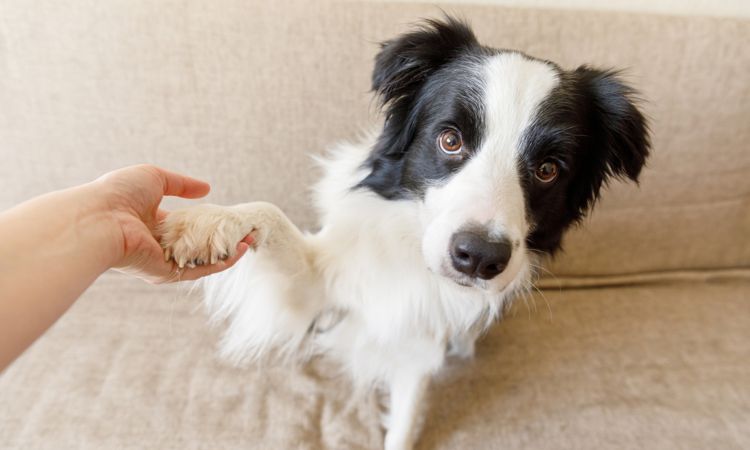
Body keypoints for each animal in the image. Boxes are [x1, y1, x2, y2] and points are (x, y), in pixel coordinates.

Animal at [160, 17, 652, 450]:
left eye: (549, 169)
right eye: (450, 140)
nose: (479, 257)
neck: (414, 258)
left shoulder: (422, 338)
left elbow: (408, 412)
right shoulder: (319, 286)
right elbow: (269, 215)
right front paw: (203, 224)